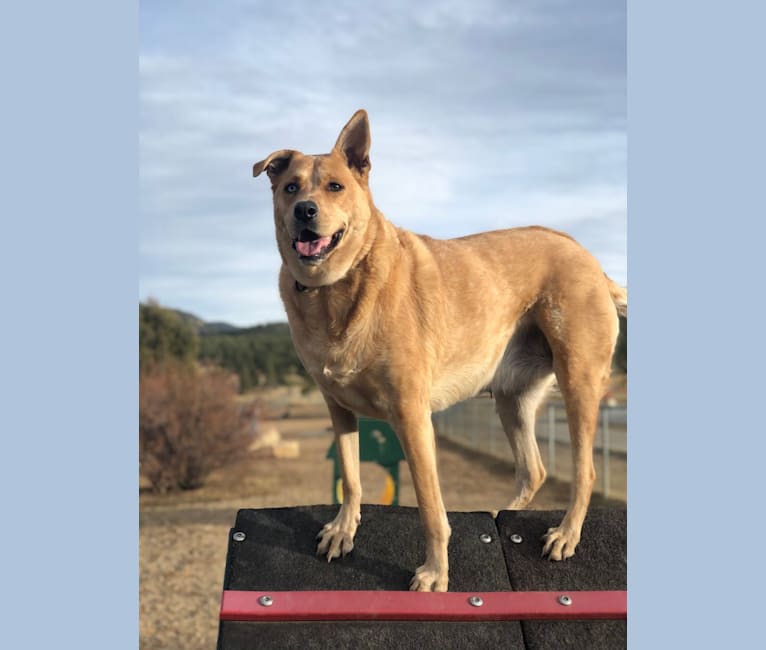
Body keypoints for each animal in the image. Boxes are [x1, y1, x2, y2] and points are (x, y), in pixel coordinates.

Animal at [255, 110, 628, 588]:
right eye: (291, 187)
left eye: (335, 186)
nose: (305, 210)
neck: (335, 289)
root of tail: (595, 264)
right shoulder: (337, 408)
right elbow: (352, 477)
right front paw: (343, 530)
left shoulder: (412, 417)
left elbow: (431, 509)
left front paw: (435, 573)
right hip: (511, 398)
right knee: (534, 470)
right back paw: (503, 514)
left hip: (578, 381)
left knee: (585, 471)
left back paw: (566, 534)